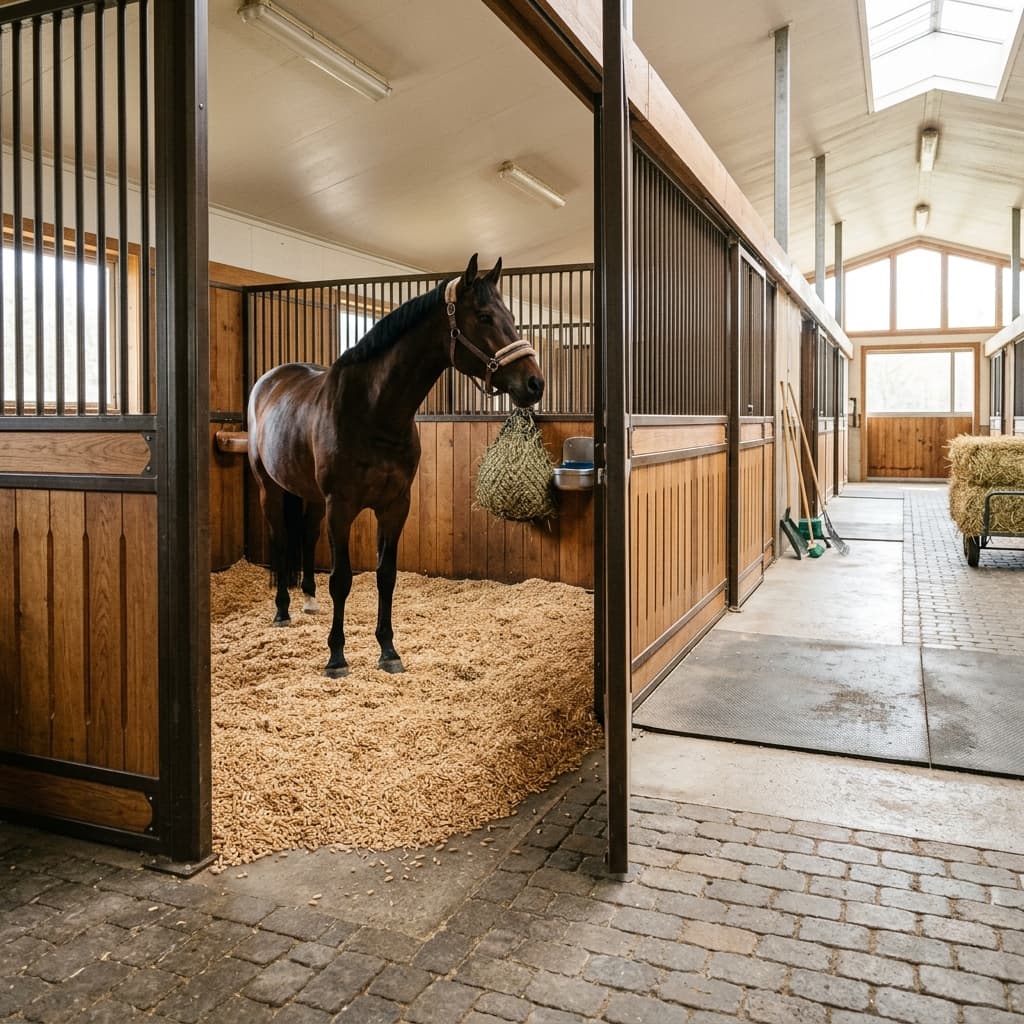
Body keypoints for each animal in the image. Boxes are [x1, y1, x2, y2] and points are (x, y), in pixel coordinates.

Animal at [247, 254, 545, 678]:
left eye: (512, 315)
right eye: (484, 316)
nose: (535, 383)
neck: (374, 411)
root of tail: (269, 382)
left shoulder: (395, 505)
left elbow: (386, 577)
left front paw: (388, 650)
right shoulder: (342, 507)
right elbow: (341, 579)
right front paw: (336, 657)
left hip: (312, 497)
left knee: (305, 535)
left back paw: (308, 600)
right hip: (271, 489)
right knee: (281, 539)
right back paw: (283, 610)